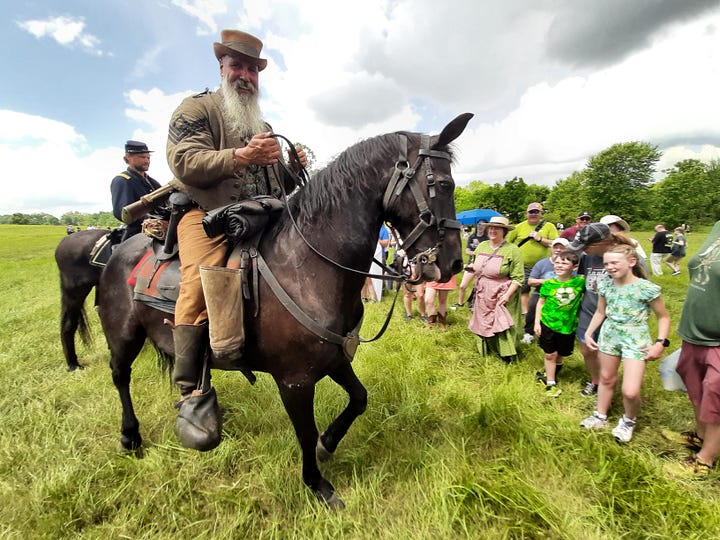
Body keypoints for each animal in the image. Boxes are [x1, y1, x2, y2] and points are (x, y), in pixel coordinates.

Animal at [77, 113, 466, 506]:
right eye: (442, 183)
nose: (454, 263)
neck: (306, 266)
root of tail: (119, 252)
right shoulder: (294, 380)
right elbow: (305, 432)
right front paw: (317, 485)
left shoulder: (334, 359)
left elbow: (359, 399)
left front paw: (328, 443)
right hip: (124, 338)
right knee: (120, 377)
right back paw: (131, 436)